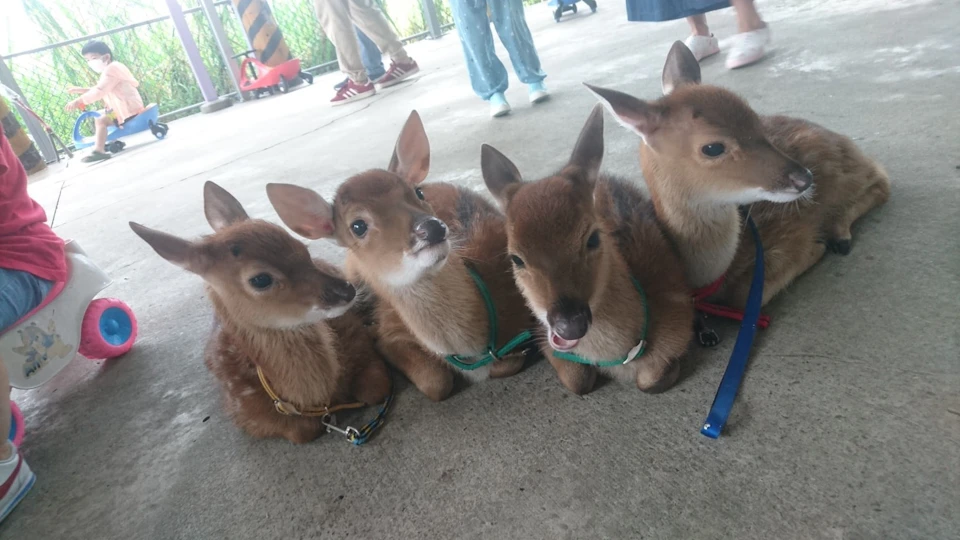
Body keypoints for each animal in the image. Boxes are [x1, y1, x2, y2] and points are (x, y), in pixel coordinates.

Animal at [129, 181, 390, 444]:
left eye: (302, 248)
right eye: (261, 279)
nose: (346, 290)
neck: (318, 400)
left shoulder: (356, 340)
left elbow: (375, 390)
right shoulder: (245, 414)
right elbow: (302, 432)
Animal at [265, 111, 539, 402]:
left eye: (417, 192)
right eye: (358, 226)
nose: (432, 227)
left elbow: (506, 364)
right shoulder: (391, 331)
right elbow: (435, 382)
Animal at [482, 105, 694, 395]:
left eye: (592, 238)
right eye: (516, 258)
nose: (569, 324)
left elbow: (650, 382)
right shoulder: (546, 339)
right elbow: (578, 381)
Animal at [587, 41, 891, 345]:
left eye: (755, 119)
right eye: (712, 147)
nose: (804, 178)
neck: (702, 284)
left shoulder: (789, 234)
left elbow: (744, 296)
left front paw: (817, 247)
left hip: (841, 171)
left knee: (881, 181)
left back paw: (840, 236)